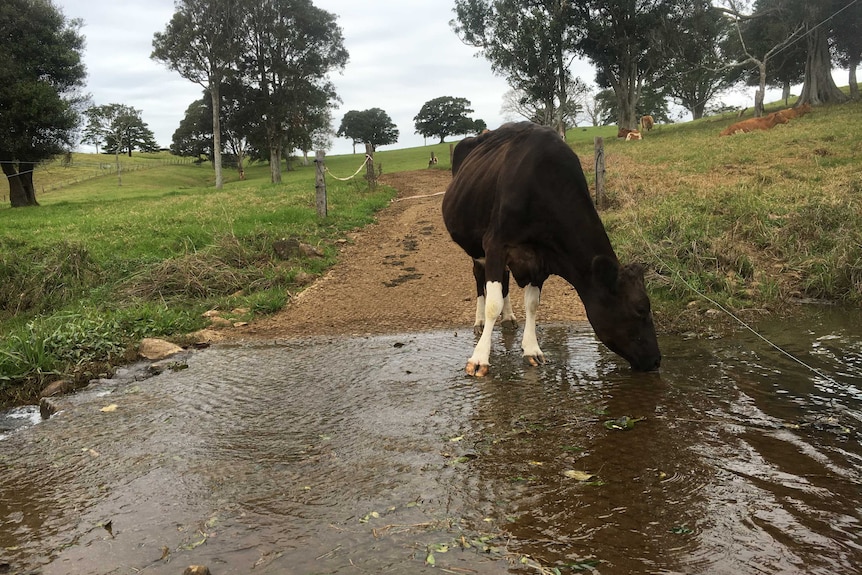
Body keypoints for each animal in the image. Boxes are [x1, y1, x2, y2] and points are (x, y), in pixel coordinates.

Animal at [442, 122, 664, 378]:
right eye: (640, 309)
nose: (656, 360)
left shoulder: (542, 258)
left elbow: (532, 304)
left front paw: (532, 349)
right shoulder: (495, 243)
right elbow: (492, 304)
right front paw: (479, 359)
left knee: (505, 281)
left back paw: (508, 317)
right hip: (475, 246)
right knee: (480, 280)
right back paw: (478, 322)